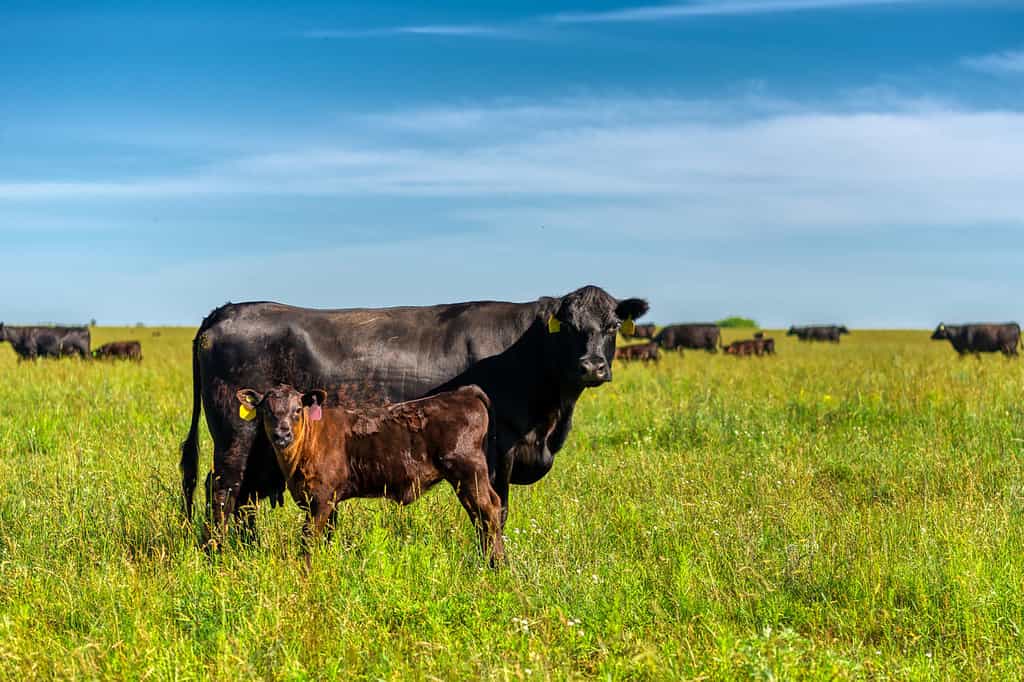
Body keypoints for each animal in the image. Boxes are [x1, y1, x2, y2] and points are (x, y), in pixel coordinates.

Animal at [179, 285, 649, 542]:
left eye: (611, 326)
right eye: (568, 326)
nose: (592, 366)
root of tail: (228, 310)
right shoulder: (499, 453)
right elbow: (496, 510)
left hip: (260, 446)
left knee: (242, 499)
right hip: (237, 437)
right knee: (222, 491)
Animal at [237, 383, 503, 566]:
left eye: (297, 410)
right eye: (267, 411)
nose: (282, 435)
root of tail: (463, 393)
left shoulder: (321, 498)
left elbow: (309, 538)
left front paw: (306, 570)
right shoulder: (329, 500)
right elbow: (328, 535)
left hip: (468, 470)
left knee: (487, 510)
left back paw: (496, 565)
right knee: (481, 513)